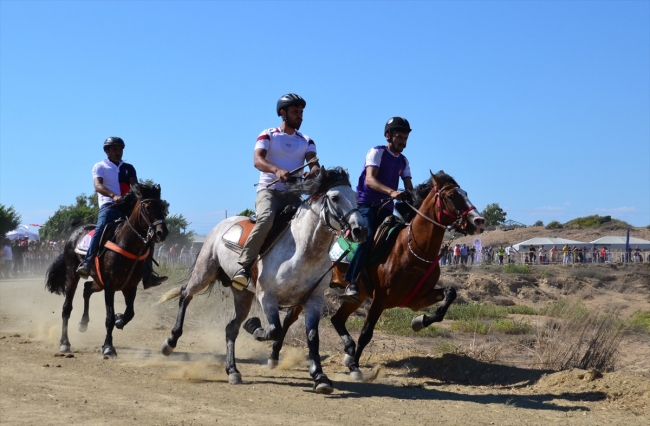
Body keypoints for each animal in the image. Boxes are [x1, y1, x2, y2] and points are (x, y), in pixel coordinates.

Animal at [45, 182, 167, 356]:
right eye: (147, 207)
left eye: (162, 206)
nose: (162, 232)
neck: (125, 243)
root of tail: (73, 235)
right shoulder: (110, 286)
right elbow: (109, 318)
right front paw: (108, 347)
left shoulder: (130, 286)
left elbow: (129, 313)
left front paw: (119, 320)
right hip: (73, 275)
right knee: (67, 307)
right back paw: (65, 343)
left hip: (98, 281)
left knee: (87, 288)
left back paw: (83, 323)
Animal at [158, 166, 364, 392]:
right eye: (335, 197)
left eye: (355, 197)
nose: (359, 229)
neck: (304, 251)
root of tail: (222, 225)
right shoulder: (267, 297)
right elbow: (275, 330)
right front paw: (254, 326)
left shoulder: (314, 299)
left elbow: (312, 337)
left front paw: (320, 376)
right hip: (204, 271)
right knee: (185, 294)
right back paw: (170, 342)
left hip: (242, 295)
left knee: (231, 328)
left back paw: (233, 370)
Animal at [266, 170, 484, 380]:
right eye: (451, 196)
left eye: (465, 193)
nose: (479, 221)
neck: (414, 249)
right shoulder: (380, 299)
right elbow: (366, 333)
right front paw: (354, 365)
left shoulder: (417, 299)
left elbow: (449, 296)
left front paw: (419, 322)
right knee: (291, 318)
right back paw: (275, 355)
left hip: (357, 296)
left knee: (337, 319)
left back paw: (348, 350)